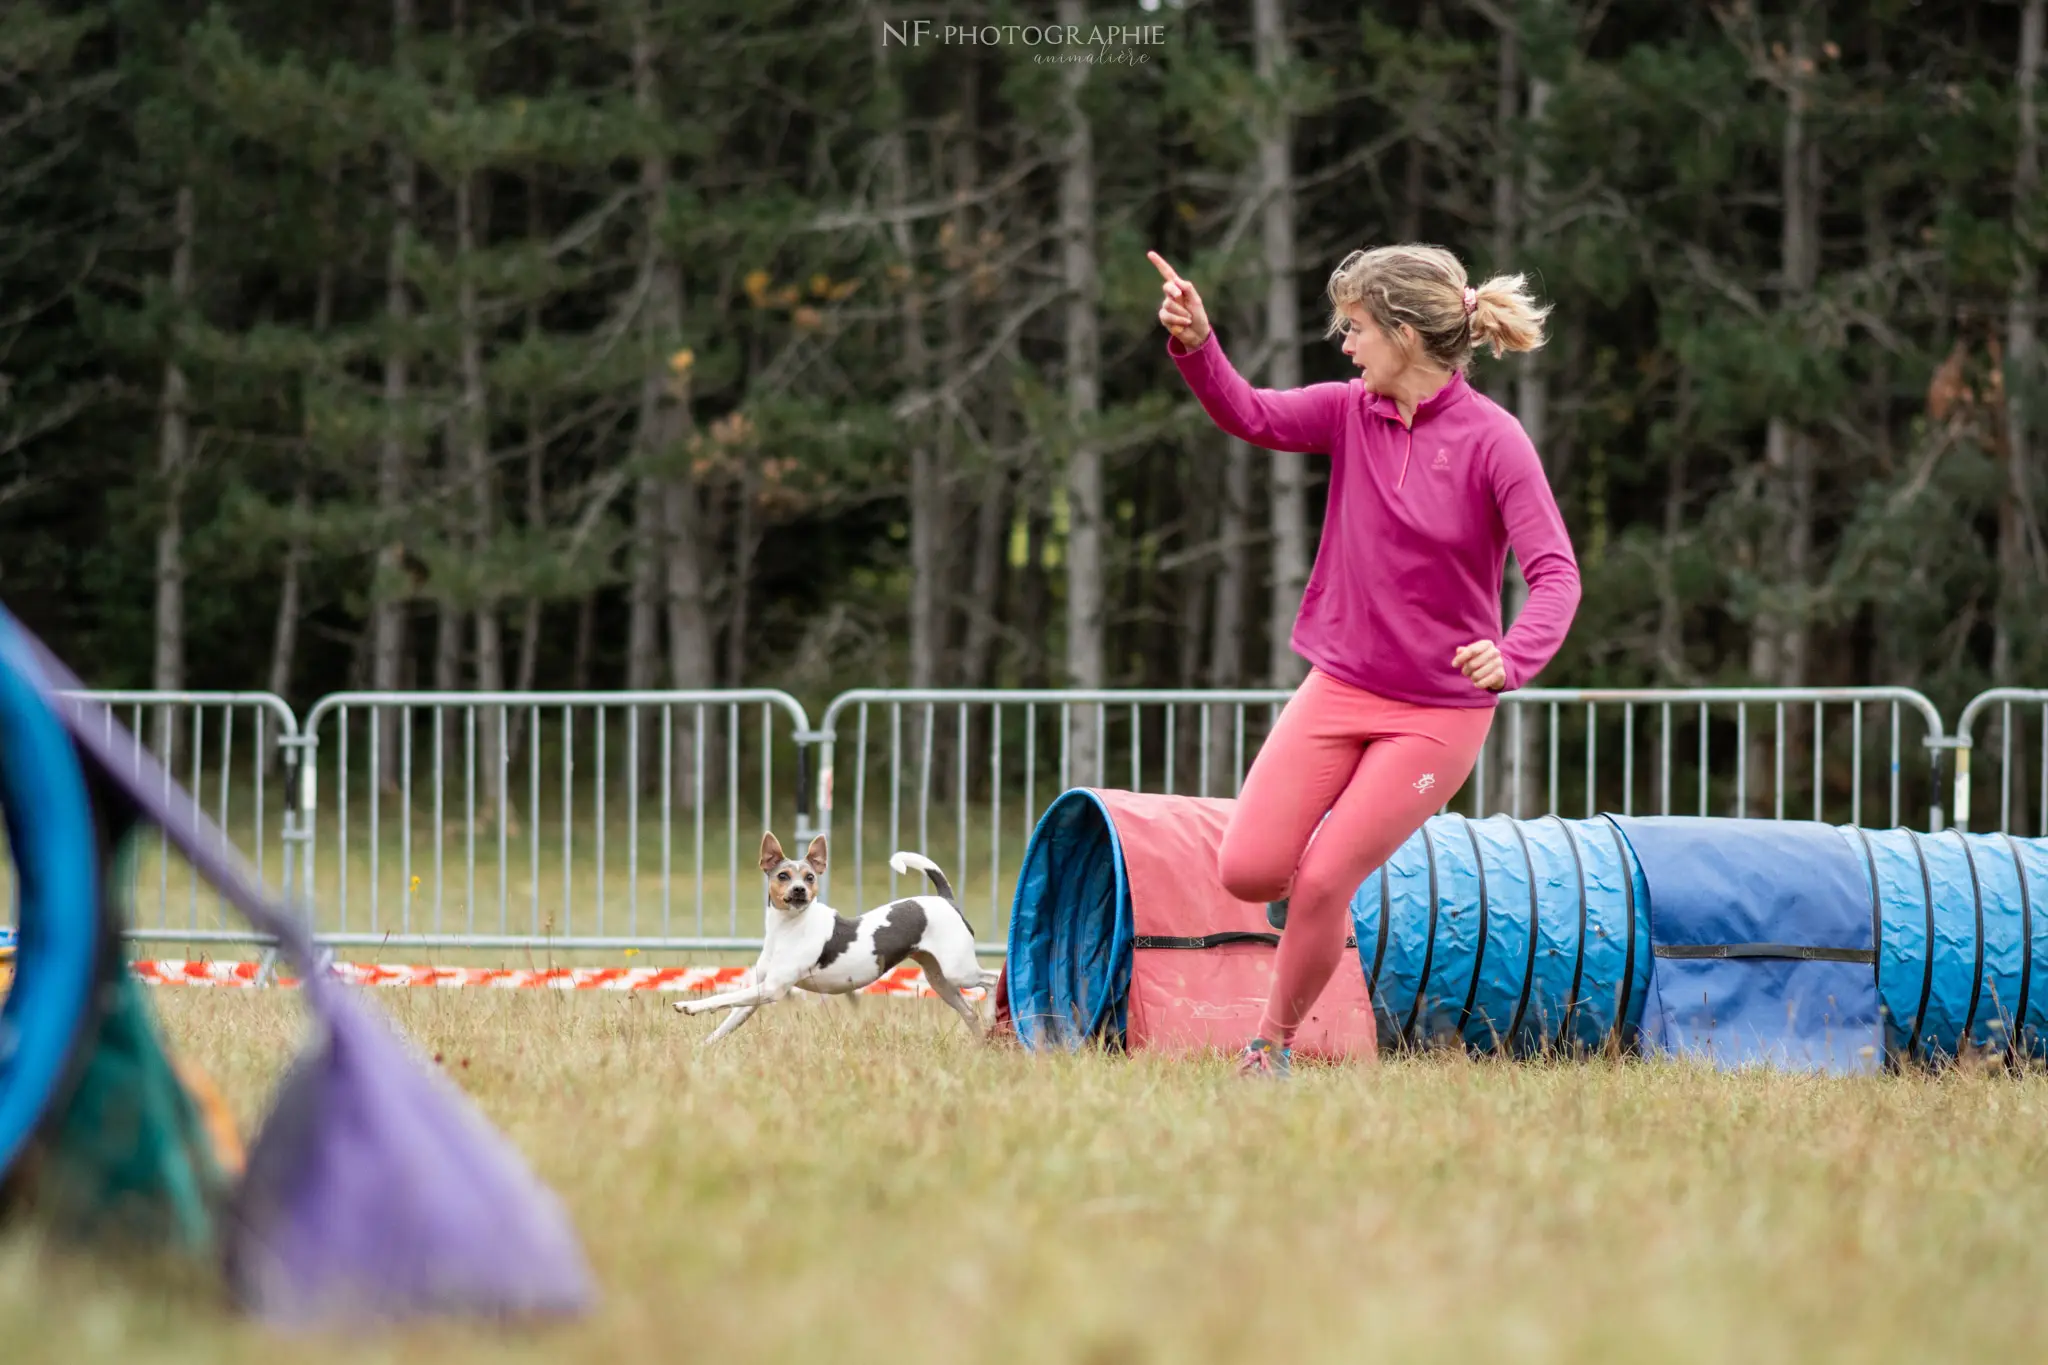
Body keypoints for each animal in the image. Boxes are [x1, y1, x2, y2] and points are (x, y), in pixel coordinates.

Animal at [671, 834, 999, 1047]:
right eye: (783, 876)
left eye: (810, 877)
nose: (800, 890)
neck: (788, 929)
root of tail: (946, 900)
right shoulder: (758, 992)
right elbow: (727, 1020)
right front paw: (702, 1048)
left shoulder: (773, 989)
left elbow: (719, 998)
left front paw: (689, 1006)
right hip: (939, 980)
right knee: (969, 1012)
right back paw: (981, 1041)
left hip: (959, 971)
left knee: (992, 980)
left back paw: (993, 1014)